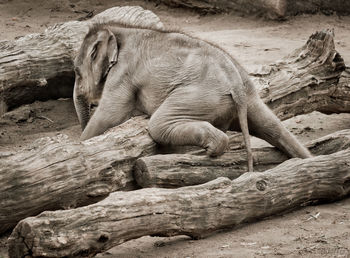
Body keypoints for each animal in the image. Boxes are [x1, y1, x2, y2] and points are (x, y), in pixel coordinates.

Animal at [72, 22, 312, 171]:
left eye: (76, 70)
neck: (119, 30)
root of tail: (236, 82)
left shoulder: (123, 73)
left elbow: (110, 115)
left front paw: (81, 144)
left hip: (198, 96)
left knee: (159, 125)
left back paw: (206, 151)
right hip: (247, 98)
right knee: (272, 127)